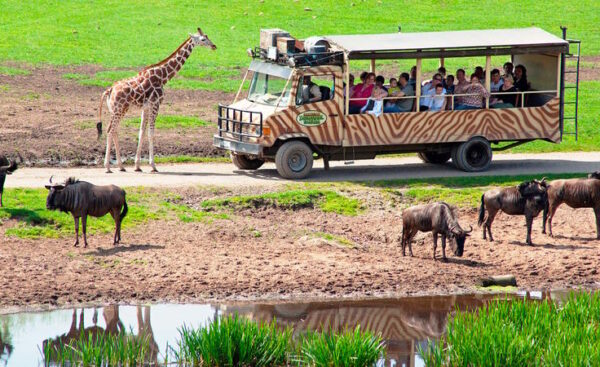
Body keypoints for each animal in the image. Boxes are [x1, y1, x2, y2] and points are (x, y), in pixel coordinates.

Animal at [98, 27, 218, 174]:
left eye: (207, 36)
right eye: (203, 39)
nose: (214, 46)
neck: (163, 76)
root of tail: (109, 90)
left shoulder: (146, 107)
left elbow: (141, 133)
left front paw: (137, 166)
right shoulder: (156, 104)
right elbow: (151, 133)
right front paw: (153, 166)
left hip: (117, 110)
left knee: (114, 131)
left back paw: (121, 166)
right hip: (120, 109)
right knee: (110, 130)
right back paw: (107, 167)